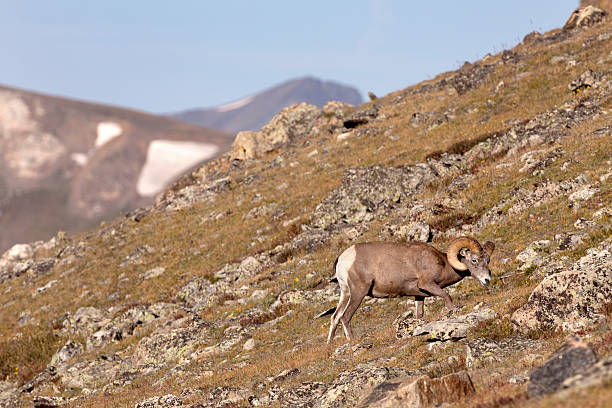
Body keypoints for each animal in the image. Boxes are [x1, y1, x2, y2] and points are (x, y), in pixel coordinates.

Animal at [328, 237, 494, 342]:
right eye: (474, 260)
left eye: (487, 260)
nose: (487, 280)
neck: (444, 264)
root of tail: (343, 259)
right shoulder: (428, 284)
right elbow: (447, 297)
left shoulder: (419, 296)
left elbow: (419, 314)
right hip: (358, 292)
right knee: (345, 317)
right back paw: (352, 341)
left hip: (345, 294)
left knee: (335, 317)